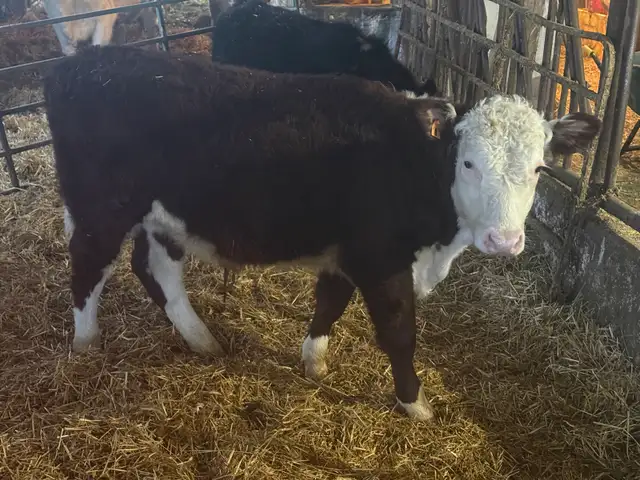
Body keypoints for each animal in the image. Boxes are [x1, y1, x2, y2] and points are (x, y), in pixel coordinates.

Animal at [43, 45, 600, 420]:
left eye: (538, 169)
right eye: (467, 163)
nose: (504, 242)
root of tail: (79, 65)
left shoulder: (347, 251)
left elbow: (331, 302)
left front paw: (313, 362)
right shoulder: (381, 257)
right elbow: (399, 333)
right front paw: (414, 402)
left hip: (166, 218)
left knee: (155, 270)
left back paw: (203, 341)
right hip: (101, 210)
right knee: (87, 267)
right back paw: (86, 344)